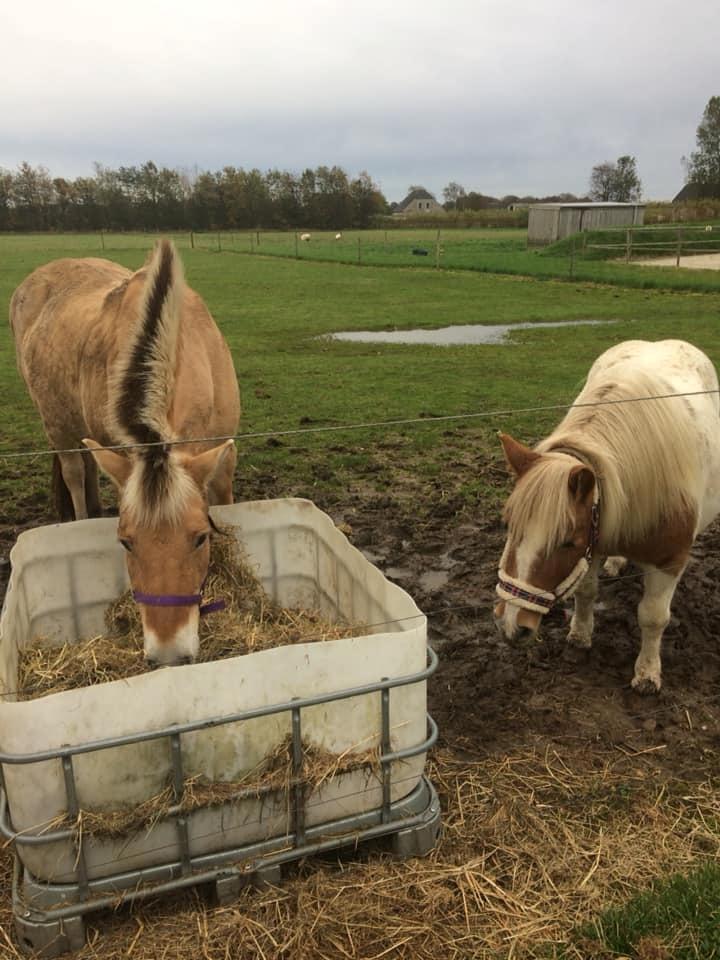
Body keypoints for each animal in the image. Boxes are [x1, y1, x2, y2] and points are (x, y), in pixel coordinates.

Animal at [11, 238, 240, 668]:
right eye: (125, 542)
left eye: (201, 538)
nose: (169, 655)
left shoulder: (222, 460)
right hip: (58, 427)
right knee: (73, 473)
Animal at [496, 338, 720, 688]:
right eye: (509, 525)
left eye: (567, 542)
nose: (510, 624)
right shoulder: (596, 539)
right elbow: (586, 592)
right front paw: (579, 635)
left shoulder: (669, 561)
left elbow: (653, 617)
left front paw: (647, 673)